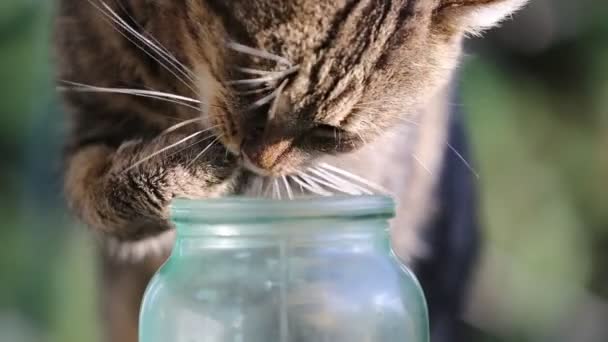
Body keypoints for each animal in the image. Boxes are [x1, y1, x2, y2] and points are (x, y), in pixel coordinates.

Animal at [53, 1, 528, 340]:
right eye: (258, 88)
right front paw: (195, 163)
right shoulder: (89, 121)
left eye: (329, 132)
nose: (259, 159)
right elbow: (105, 195)